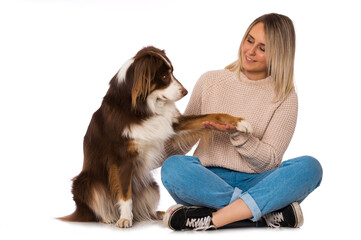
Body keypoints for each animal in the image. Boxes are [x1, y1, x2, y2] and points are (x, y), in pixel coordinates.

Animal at [59, 46, 250, 228]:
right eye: (164, 76)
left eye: (172, 72)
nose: (186, 91)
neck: (142, 107)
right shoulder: (123, 157)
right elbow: (125, 193)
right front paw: (125, 219)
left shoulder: (174, 124)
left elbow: (214, 115)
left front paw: (240, 123)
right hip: (86, 183)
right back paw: (109, 217)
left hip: (151, 186)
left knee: (143, 211)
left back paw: (159, 214)